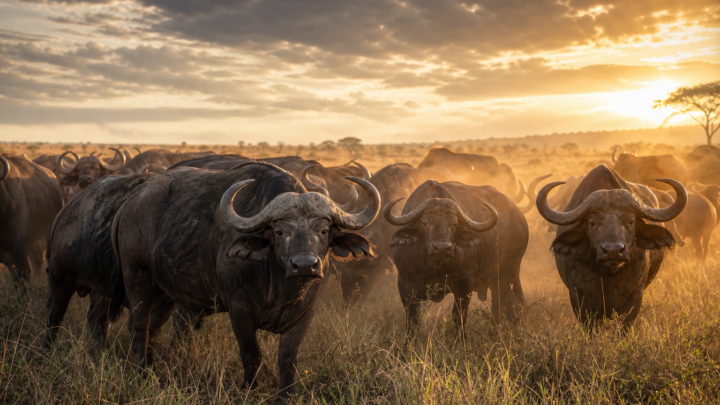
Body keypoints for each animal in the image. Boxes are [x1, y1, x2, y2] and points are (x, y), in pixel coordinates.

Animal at [113, 162, 380, 396]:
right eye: (279, 232)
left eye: (324, 231)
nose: (304, 265)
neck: (280, 287)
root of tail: (130, 205)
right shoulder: (239, 310)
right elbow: (252, 354)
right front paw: (249, 389)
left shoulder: (305, 312)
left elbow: (288, 357)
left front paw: (287, 394)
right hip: (137, 277)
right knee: (139, 326)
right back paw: (140, 373)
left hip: (166, 291)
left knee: (155, 327)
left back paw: (151, 368)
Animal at [385, 180, 529, 338]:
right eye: (424, 222)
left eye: (453, 224)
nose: (442, 248)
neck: (434, 266)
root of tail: (519, 218)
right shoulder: (405, 284)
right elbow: (412, 320)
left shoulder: (464, 283)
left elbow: (459, 315)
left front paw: (461, 340)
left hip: (506, 274)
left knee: (498, 307)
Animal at [536, 165, 686, 329]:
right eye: (592, 223)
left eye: (631, 221)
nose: (613, 251)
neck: (607, 273)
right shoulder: (577, 297)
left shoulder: (635, 296)